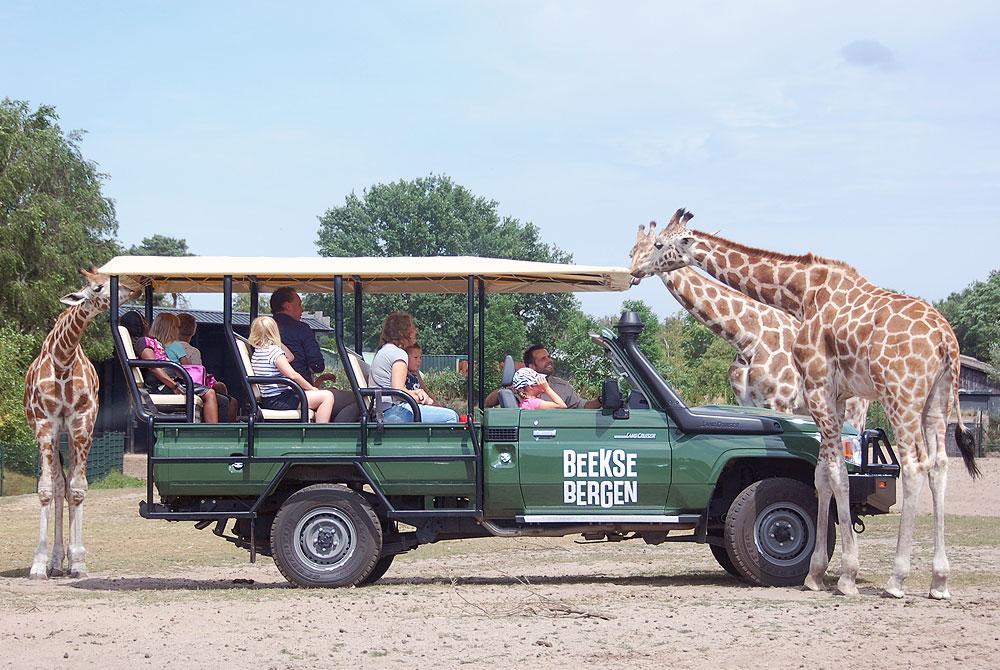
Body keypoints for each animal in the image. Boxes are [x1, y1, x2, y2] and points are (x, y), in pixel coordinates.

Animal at [23, 270, 140, 580]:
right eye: (98, 287)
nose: (133, 289)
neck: (63, 359)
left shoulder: (82, 424)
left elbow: (77, 489)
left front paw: (78, 561)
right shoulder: (45, 424)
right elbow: (46, 489)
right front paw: (38, 564)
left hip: (71, 434)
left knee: (66, 486)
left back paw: (61, 561)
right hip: (51, 435)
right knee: (56, 485)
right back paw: (53, 562)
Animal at [624, 220, 868, 430]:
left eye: (655, 246)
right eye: (631, 251)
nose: (633, 274)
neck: (746, 339)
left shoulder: (781, 402)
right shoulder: (747, 402)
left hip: (854, 412)